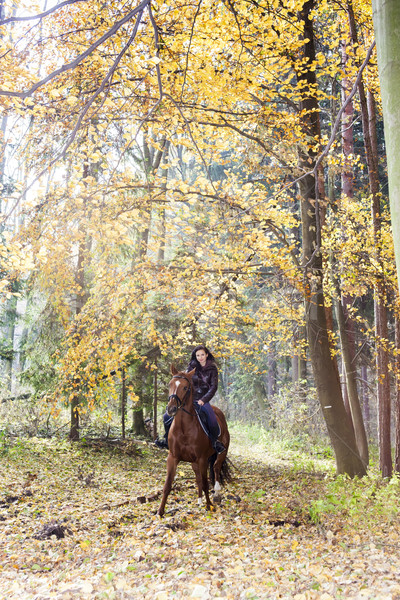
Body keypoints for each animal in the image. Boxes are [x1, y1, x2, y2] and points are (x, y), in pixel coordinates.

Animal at [157, 364, 231, 516]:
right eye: (170, 384)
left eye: (185, 387)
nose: (171, 409)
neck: (183, 428)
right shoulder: (173, 458)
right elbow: (167, 485)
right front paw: (160, 511)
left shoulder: (202, 459)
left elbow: (205, 482)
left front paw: (209, 506)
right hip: (194, 462)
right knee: (198, 477)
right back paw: (199, 500)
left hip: (221, 452)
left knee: (216, 468)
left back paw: (216, 495)